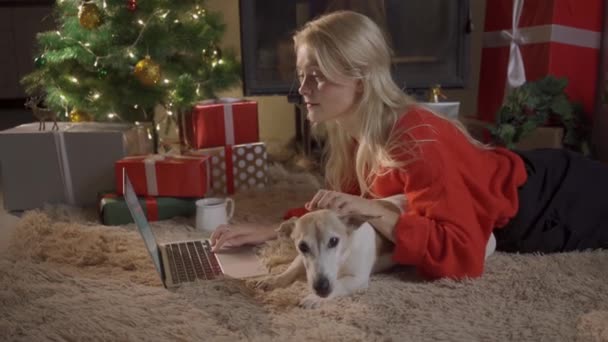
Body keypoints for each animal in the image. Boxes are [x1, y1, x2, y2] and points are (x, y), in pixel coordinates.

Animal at [254, 195, 406, 308]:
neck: (344, 256)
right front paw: (275, 279)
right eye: (303, 246)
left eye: (333, 241)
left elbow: (339, 284)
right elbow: (291, 269)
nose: (321, 287)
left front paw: (314, 298)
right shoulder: (301, 258)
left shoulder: (358, 279)